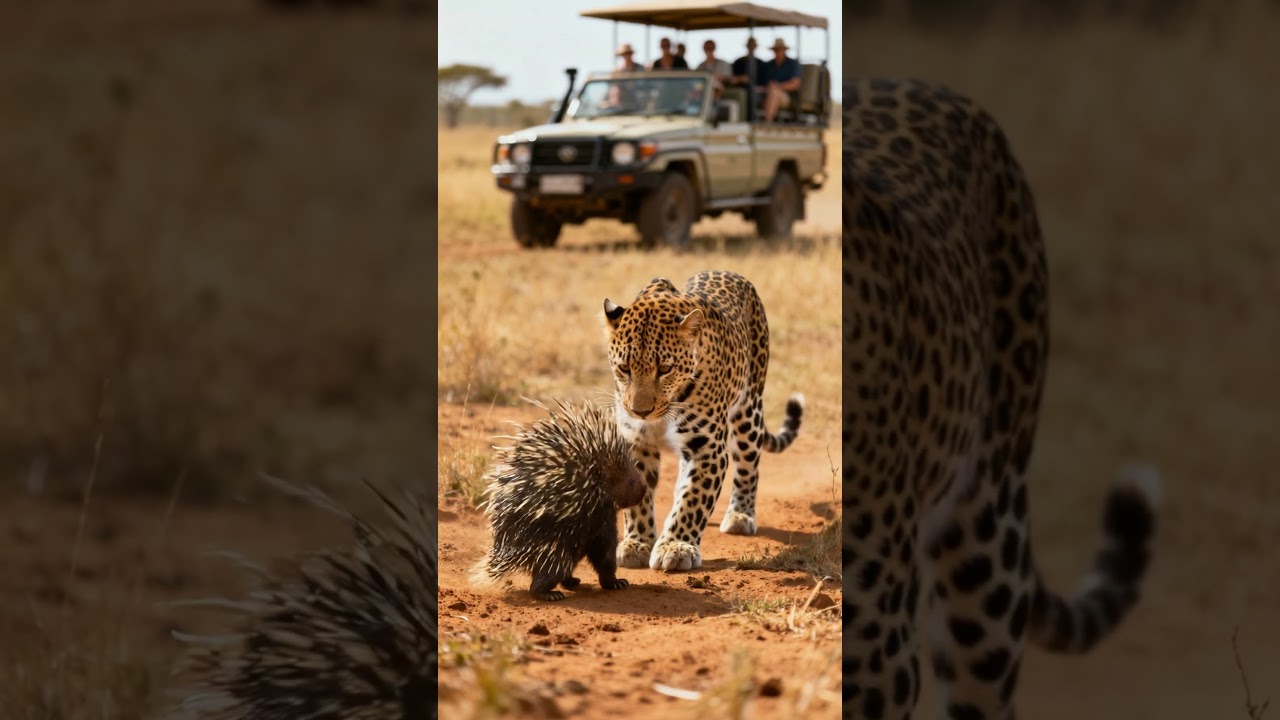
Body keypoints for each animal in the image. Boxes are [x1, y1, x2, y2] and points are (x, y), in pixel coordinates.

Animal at [602, 270, 804, 572]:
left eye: (665, 369)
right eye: (624, 368)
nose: (641, 411)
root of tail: (729, 272)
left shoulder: (708, 447)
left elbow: (694, 499)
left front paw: (676, 546)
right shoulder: (636, 442)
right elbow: (639, 496)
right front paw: (637, 542)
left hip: (749, 411)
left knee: (748, 467)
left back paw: (740, 516)